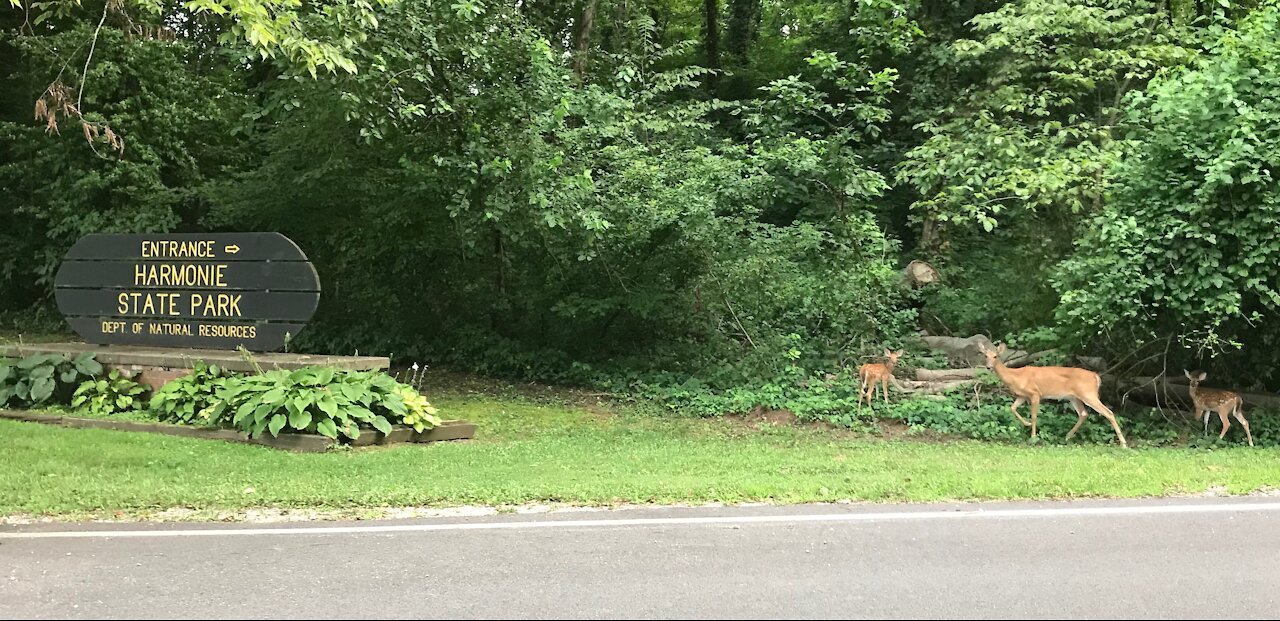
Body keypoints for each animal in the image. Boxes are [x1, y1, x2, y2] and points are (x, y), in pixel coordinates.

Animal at [972, 343, 1126, 445]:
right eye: (985, 356)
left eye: (995, 356)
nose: (988, 367)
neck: (1015, 377)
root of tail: (1096, 376)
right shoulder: (1022, 396)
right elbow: (1012, 408)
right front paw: (1027, 424)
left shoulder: (1035, 393)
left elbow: (1034, 416)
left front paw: (1033, 437)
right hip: (1074, 397)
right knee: (1083, 414)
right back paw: (1067, 436)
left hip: (1088, 394)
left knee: (1108, 412)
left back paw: (1123, 443)